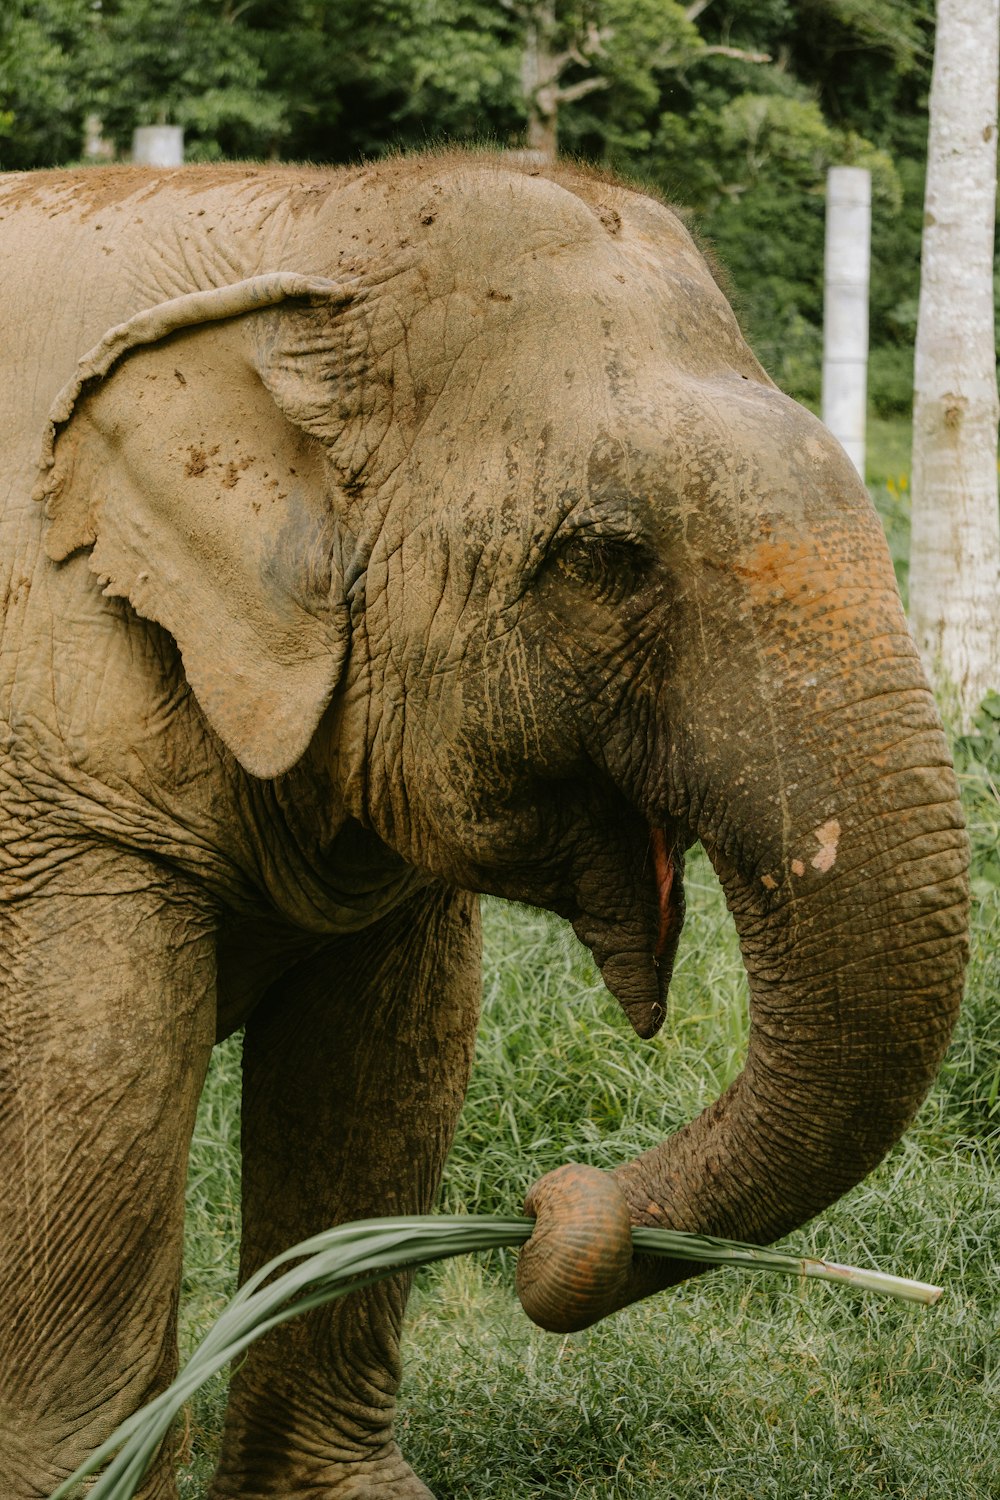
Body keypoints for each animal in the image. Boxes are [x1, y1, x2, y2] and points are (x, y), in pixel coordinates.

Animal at [0, 155, 971, 1500]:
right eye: (607, 558)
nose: (551, 1203)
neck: (306, 228)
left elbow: (384, 1086)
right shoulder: (65, 780)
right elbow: (93, 1108)